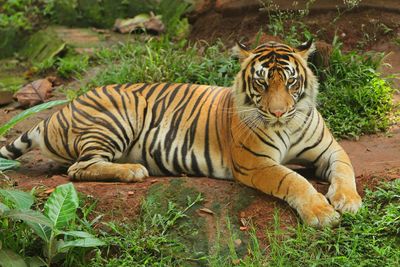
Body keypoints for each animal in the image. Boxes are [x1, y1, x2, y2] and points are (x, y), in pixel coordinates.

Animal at [0, 40, 362, 228]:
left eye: (290, 82)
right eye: (261, 83)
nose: (277, 112)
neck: (287, 123)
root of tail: (59, 110)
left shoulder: (330, 150)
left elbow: (346, 170)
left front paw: (349, 201)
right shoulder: (256, 163)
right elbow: (293, 180)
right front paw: (321, 213)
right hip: (119, 115)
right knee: (79, 167)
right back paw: (133, 170)